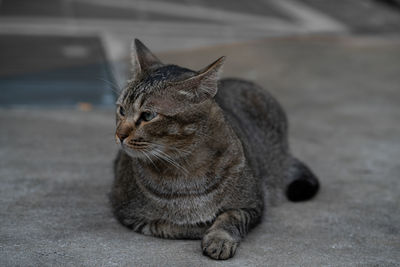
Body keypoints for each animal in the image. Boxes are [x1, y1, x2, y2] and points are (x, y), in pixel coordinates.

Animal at [110, 38, 318, 260]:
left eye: (148, 116)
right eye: (121, 110)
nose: (119, 135)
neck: (185, 169)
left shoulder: (253, 205)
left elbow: (231, 216)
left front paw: (219, 238)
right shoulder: (131, 214)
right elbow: (172, 225)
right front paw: (201, 226)